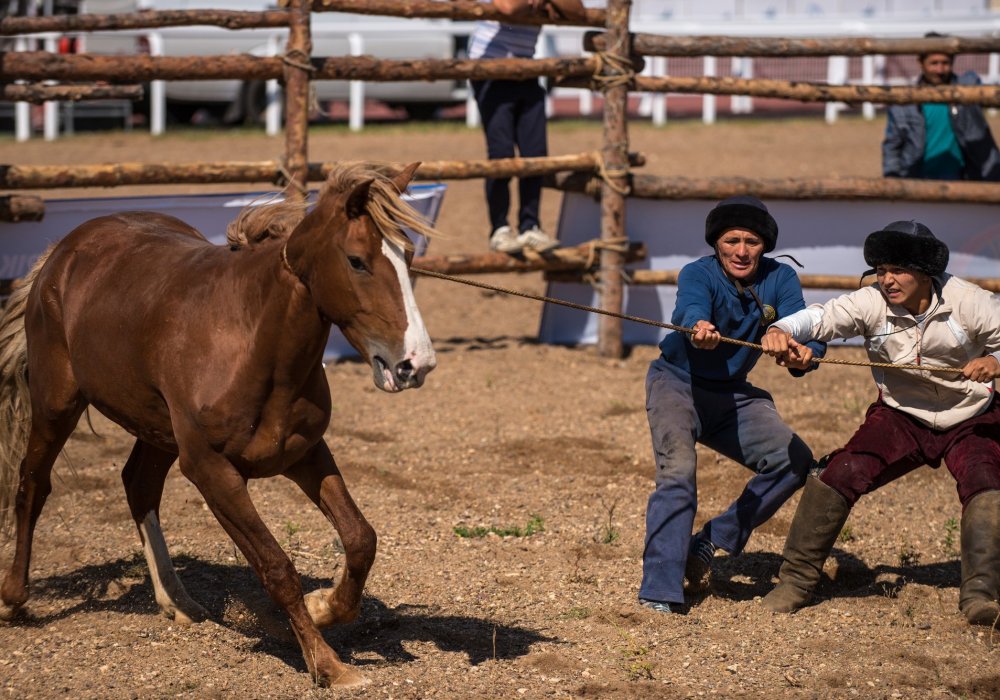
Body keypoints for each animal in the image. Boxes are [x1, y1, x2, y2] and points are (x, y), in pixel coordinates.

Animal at [0, 161, 434, 688]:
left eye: (409, 253)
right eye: (357, 261)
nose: (415, 364)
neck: (252, 342)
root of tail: (60, 253)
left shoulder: (307, 453)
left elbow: (360, 539)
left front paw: (325, 606)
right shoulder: (213, 472)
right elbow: (276, 567)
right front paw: (328, 663)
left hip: (157, 427)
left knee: (138, 484)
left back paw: (177, 601)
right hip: (56, 403)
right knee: (33, 484)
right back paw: (13, 598)